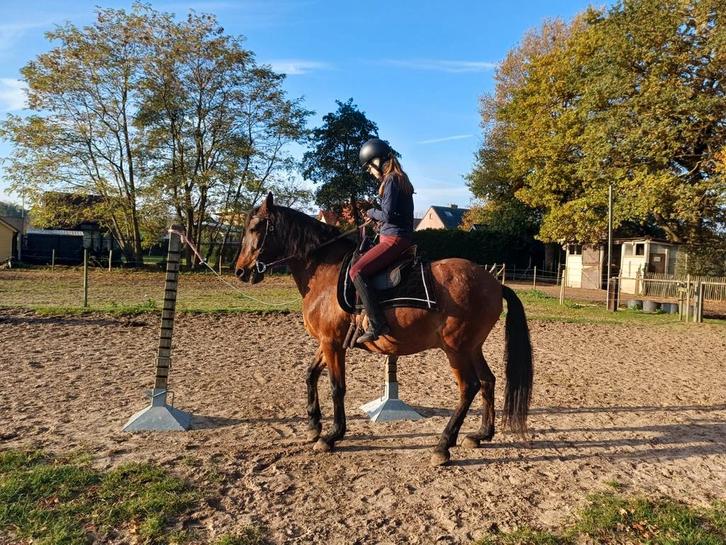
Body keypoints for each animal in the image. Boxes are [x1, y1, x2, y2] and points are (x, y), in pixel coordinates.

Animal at [234, 193, 533, 466]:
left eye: (255, 228)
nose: (240, 271)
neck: (325, 272)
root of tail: (494, 283)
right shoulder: (327, 342)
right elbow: (310, 375)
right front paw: (313, 426)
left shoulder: (332, 343)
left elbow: (337, 387)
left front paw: (332, 435)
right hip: (472, 347)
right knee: (488, 381)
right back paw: (481, 435)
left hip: (456, 349)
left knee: (469, 387)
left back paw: (443, 446)